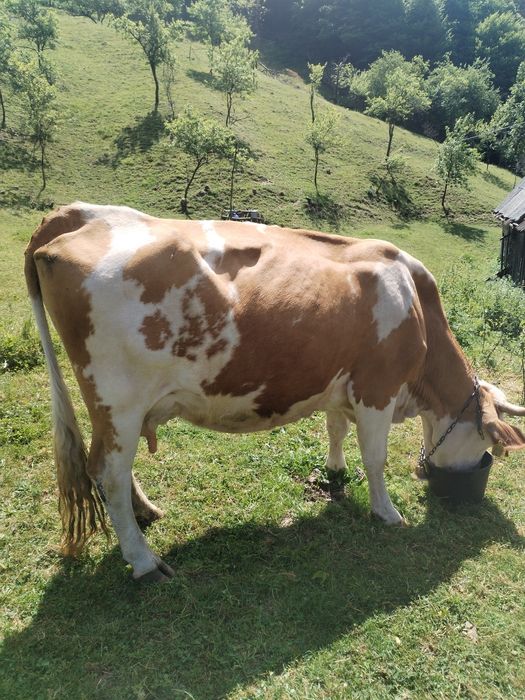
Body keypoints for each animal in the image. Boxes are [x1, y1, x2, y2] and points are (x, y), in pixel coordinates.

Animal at [25, 202, 525, 582]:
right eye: (485, 443)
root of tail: (76, 215)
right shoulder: (376, 388)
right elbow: (375, 457)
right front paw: (386, 512)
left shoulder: (340, 382)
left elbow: (336, 428)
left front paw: (335, 470)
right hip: (119, 400)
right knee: (107, 471)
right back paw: (145, 560)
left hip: (117, 410)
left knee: (115, 468)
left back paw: (146, 512)